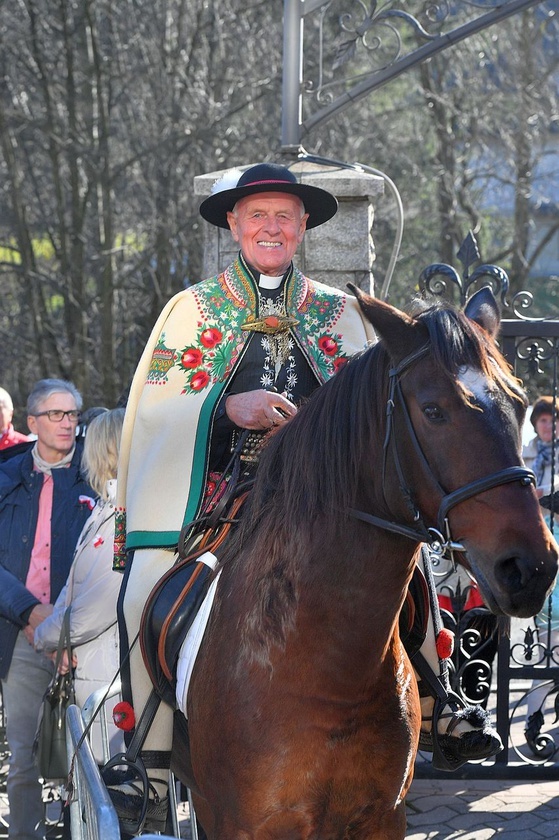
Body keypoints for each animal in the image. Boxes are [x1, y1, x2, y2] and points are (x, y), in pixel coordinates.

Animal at [172, 288, 559, 840]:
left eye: (520, 404)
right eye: (434, 410)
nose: (530, 567)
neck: (332, 672)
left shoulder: (383, 814)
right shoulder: (244, 823)